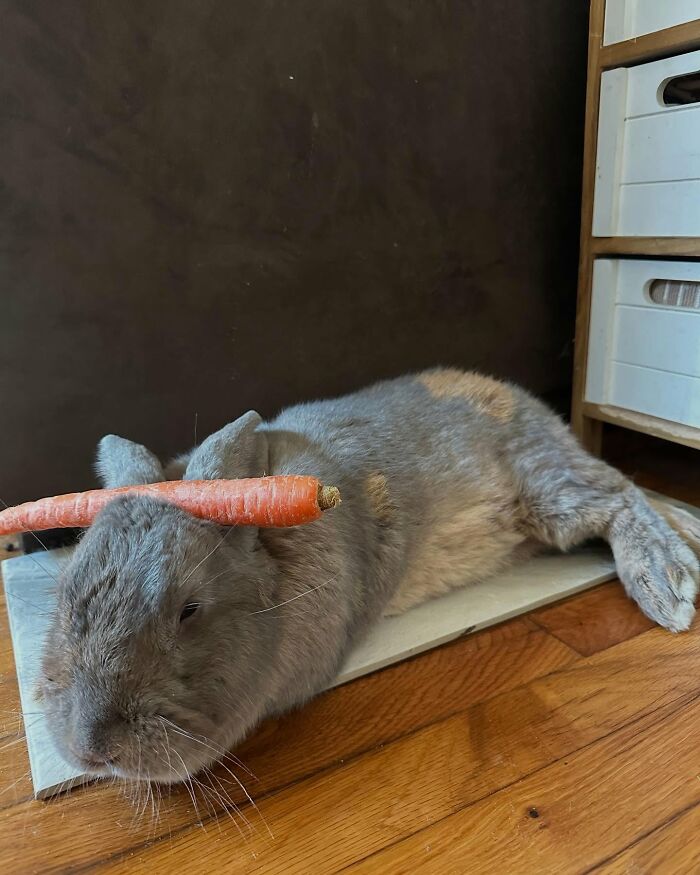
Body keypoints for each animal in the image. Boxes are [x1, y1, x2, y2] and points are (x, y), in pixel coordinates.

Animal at [37, 368, 700, 784]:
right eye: (68, 601)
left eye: (189, 610)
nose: (93, 749)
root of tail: (537, 408)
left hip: (548, 490)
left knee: (620, 493)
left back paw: (671, 585)